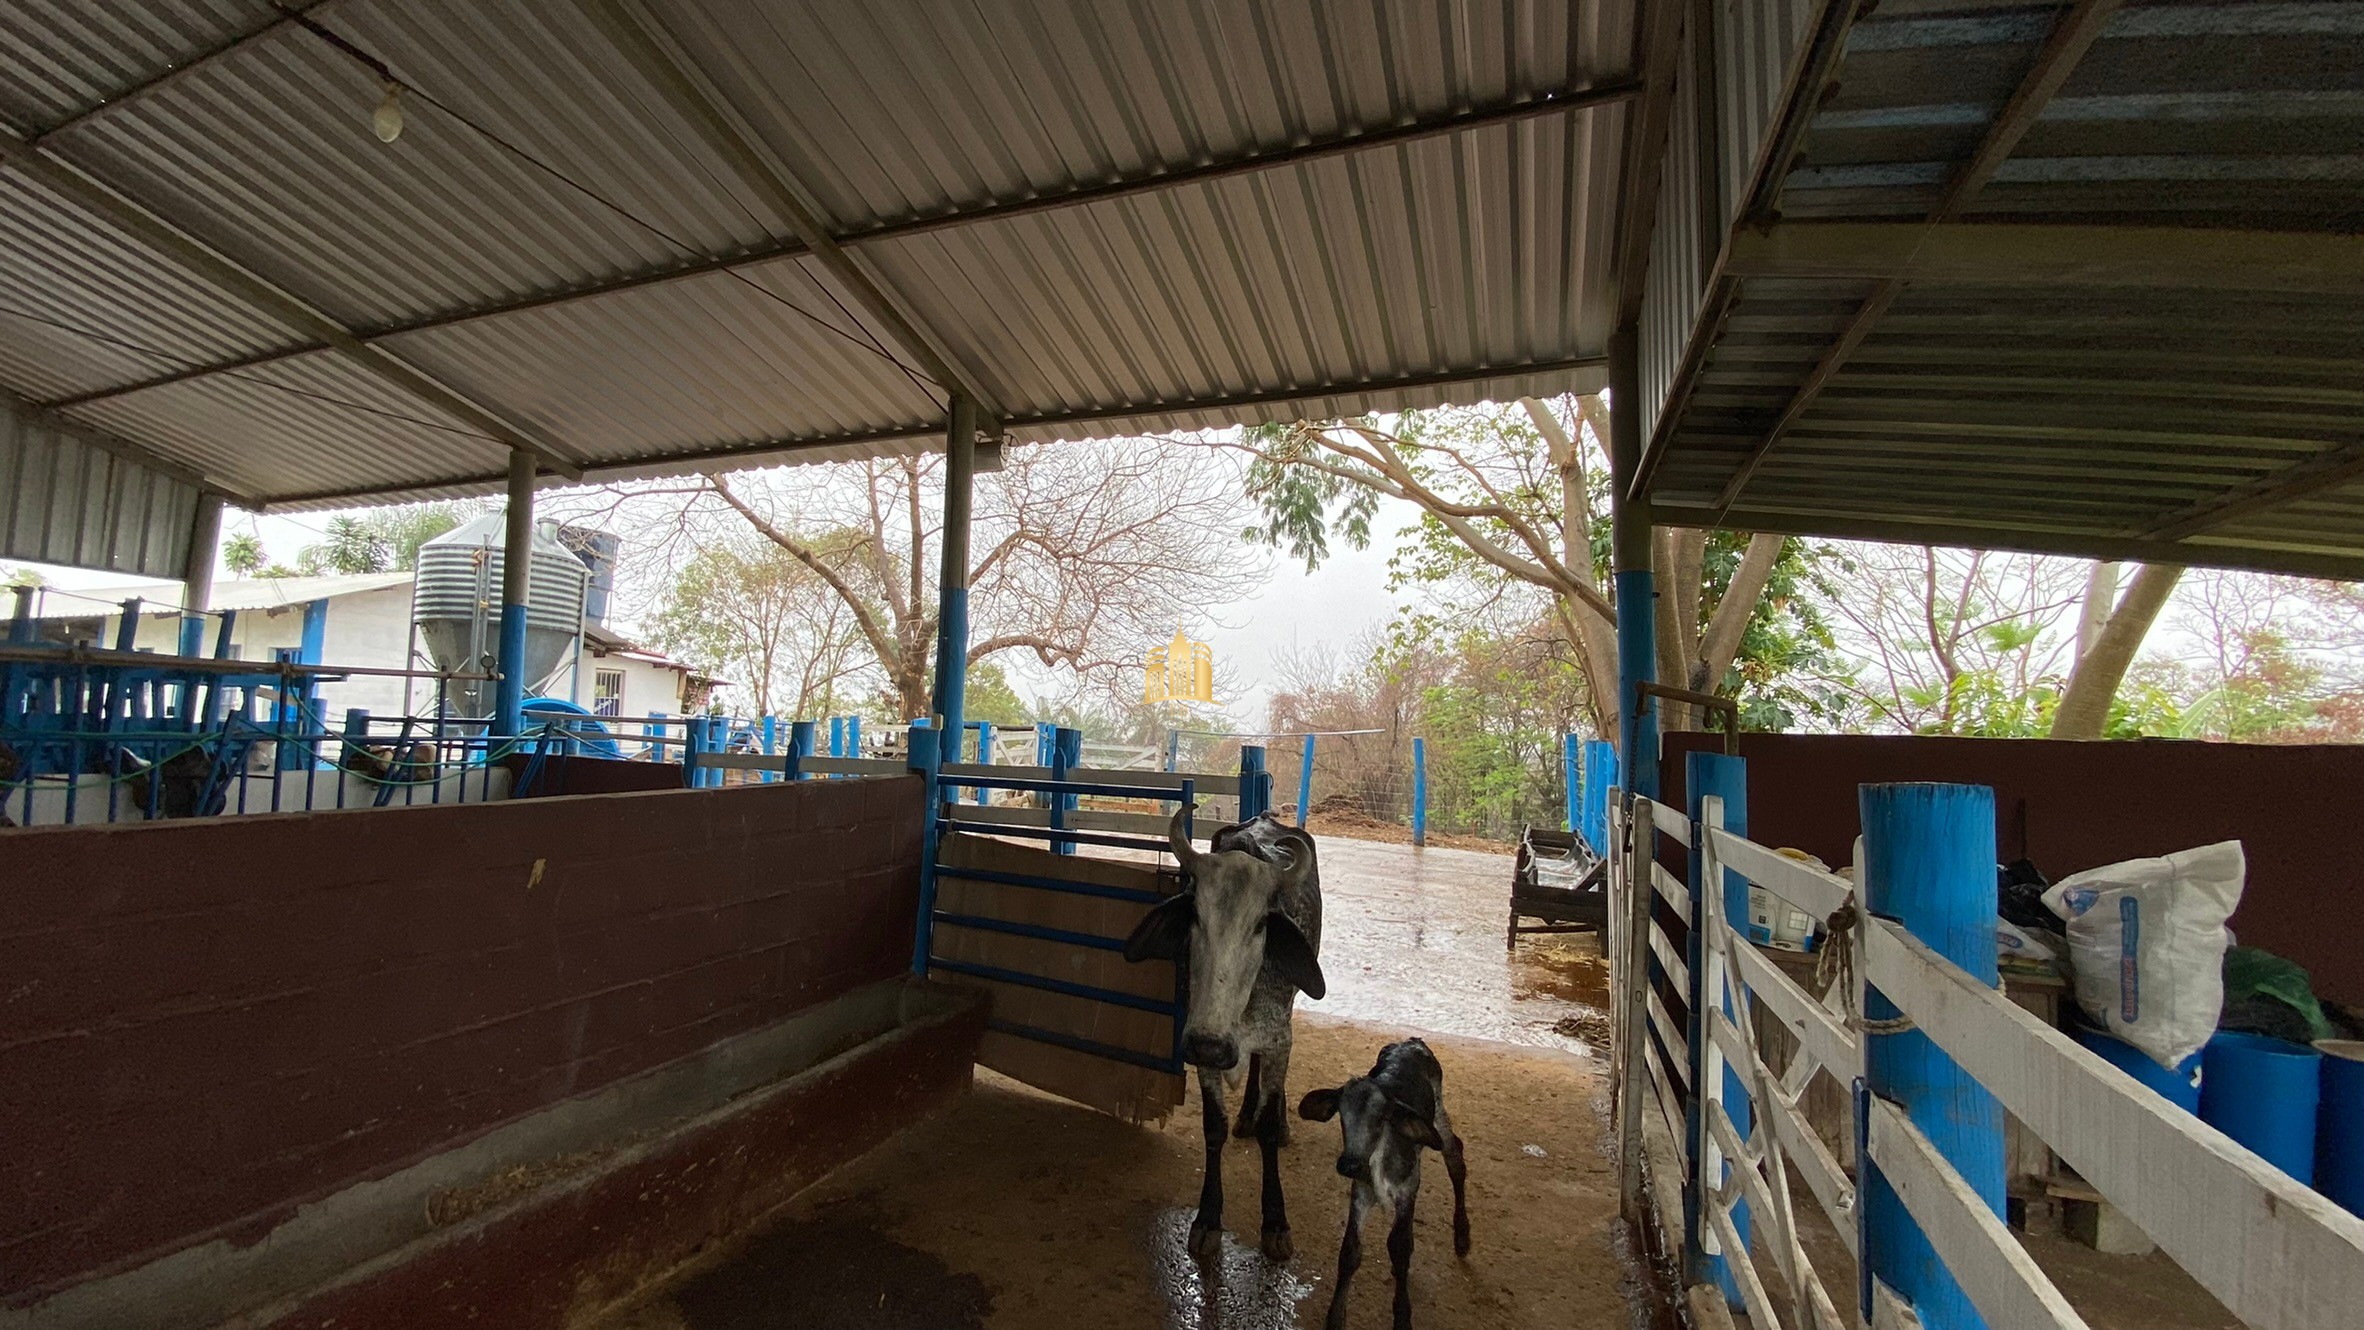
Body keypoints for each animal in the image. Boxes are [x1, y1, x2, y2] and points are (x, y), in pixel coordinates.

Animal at [1125, 807, 1333, 1266]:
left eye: (1259, 925)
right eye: (1196, 916)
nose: (1213, 1043)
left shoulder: (1278, 1040)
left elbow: (1268, 1128)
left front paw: (1275, 1222)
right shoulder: (1201, 1048)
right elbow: (1213, 1126)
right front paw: (1207, 1218)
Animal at [1304, 1039, 1465, 1330]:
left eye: (1380, 1118)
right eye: (1341, 1115)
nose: (1349, 1164)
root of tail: (1411, 1041)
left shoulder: (1408, 1189)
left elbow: (1399, 1246)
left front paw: (1402, 1317)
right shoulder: (1360, 1190)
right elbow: (1350, 1250)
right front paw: (1335, 1318)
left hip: (1439, 1114)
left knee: (1455, 1158)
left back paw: (1462, 1237)